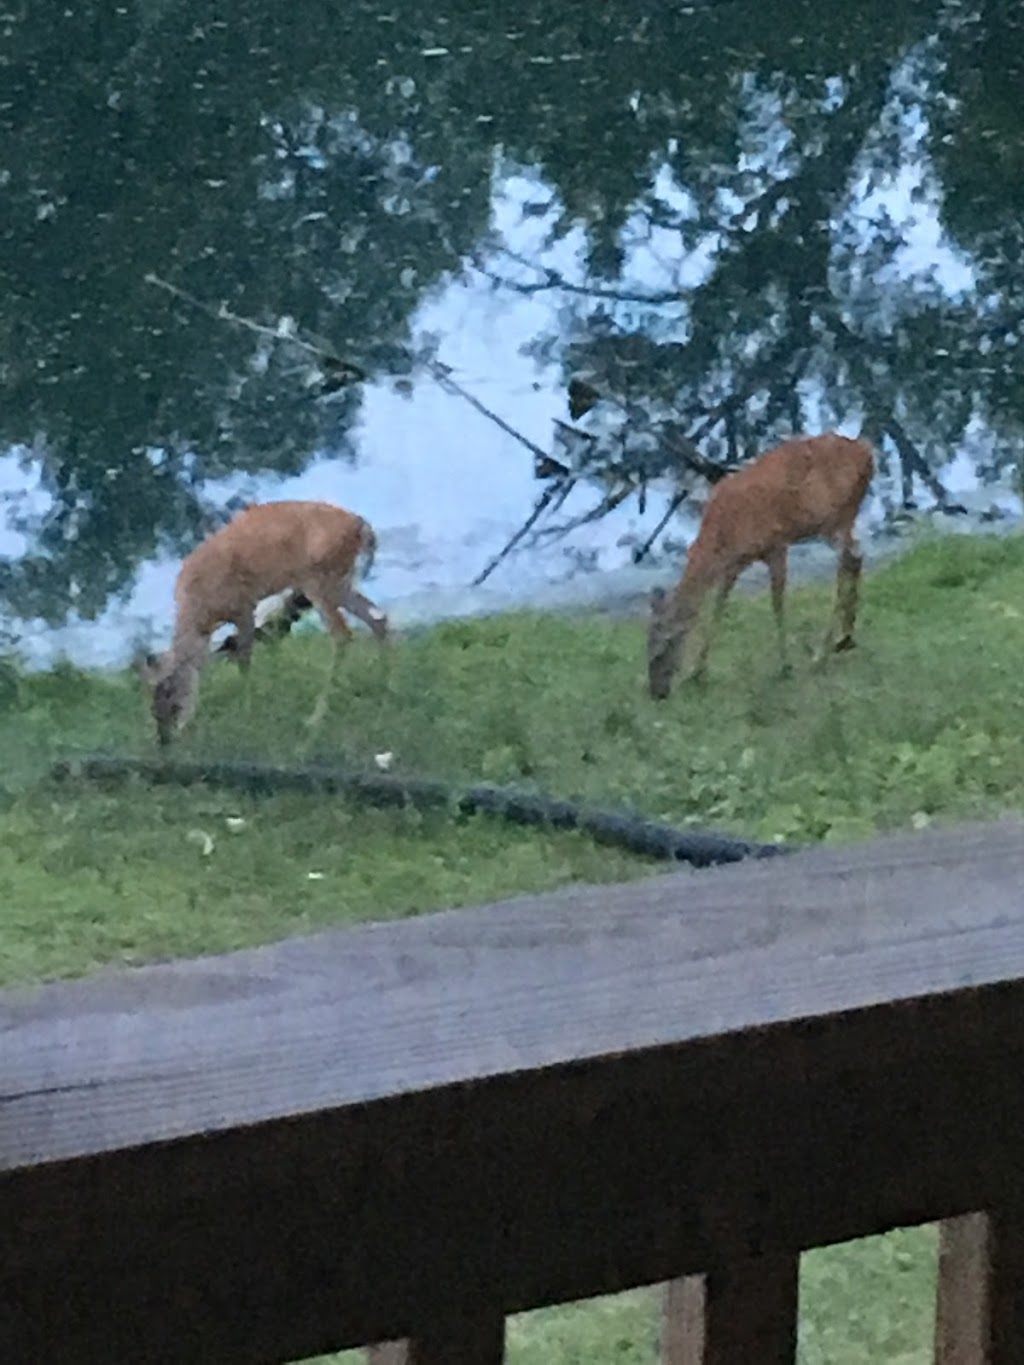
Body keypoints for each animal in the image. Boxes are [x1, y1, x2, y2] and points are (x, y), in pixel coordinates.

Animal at [136, 499, 387, 742]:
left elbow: (244, 660)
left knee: (343, 634)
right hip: (338, 583)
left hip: (319, 579)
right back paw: (382, 681)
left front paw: (248, 712)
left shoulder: (244, 607)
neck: (201, 616)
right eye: (149, 691)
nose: (164, 736)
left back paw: (316, 717)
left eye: (167, 688)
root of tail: (363, 527)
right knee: (378, 619)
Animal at [649, 431, 873, 698]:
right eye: (647, 647)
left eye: (664, 648)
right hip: (842, 518)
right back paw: (844, 640)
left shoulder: (776, 543)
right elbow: (718, 606)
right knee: (855, 557)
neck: (721, 534)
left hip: (834, 516)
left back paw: (822, 654)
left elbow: (777, 604)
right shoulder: (734, 563)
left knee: (846, 561)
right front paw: (697, 672)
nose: (656, 693)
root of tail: (867, 452)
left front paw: (785, 666)